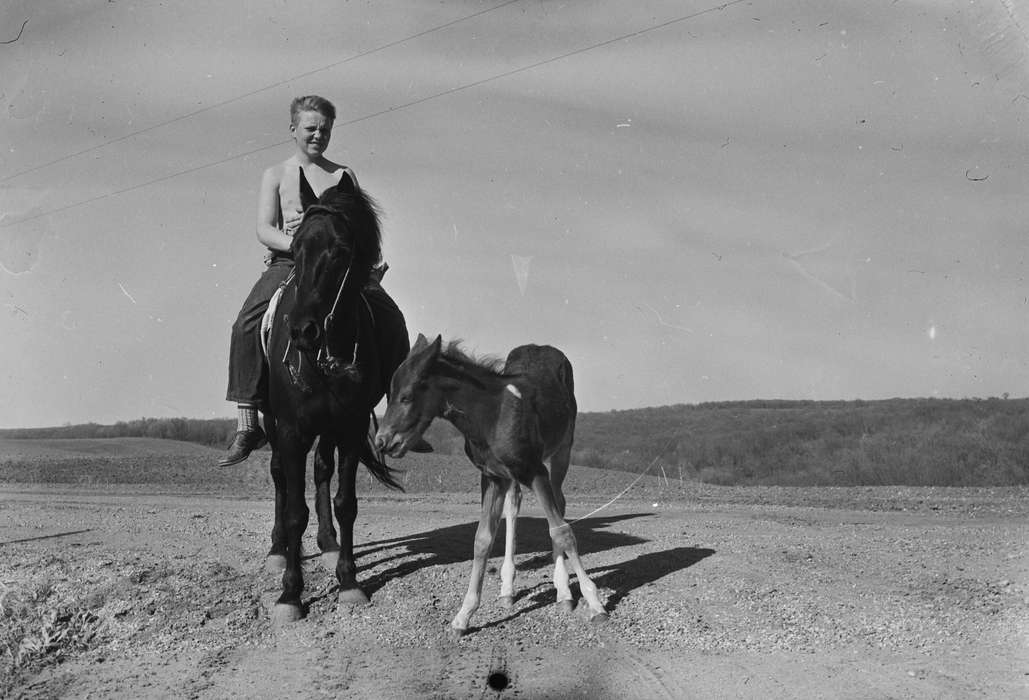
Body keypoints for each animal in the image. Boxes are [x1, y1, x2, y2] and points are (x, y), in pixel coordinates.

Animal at [263, 178, 403, 625]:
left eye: (341, 251)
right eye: (296, 248)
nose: (302, 331)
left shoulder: (351, 427)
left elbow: (345, 503)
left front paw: (349, 580)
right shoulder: (291, 429)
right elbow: (294, 510)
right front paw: (290, 593)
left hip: (328, 430)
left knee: (322, 471)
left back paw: (327, 543)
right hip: (272, 423)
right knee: (279, 475)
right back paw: (277, 550)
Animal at [374, 334, 608, 638]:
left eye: (406, 396)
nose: (382, 441)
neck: (491, 415)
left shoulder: (535, 470)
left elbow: (561, 531)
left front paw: (595, 603)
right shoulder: (492, 477)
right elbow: (482, 539)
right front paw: (463, 615)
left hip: (562, 451)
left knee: (560, 503)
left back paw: (564, 592)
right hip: (513, 477)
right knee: (515, 504)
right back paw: (508, 588)